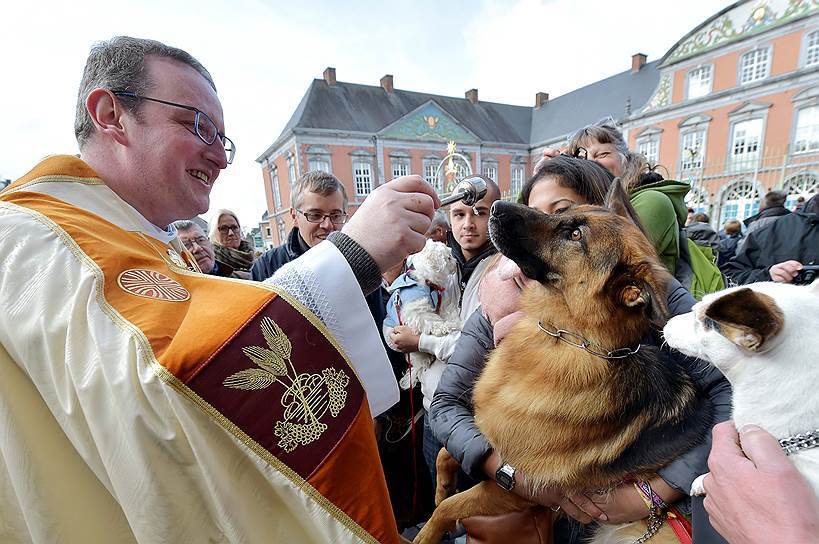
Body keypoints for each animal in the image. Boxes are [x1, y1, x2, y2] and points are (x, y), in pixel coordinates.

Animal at [414, 181, 716, 540]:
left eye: (575, 234)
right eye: (567, 213)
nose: (497, 206)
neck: (565, 336)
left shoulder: (517, 488)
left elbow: (450, 507)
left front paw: (426, 533)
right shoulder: (491, 437)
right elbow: (446, 454)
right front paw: (441, 487)